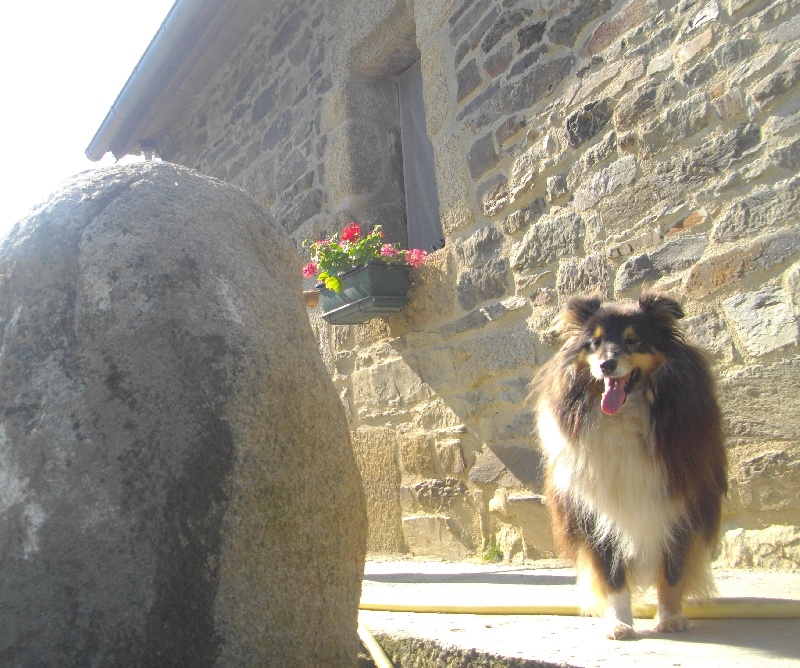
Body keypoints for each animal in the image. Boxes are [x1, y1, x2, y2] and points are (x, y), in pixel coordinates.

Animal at [536, 294, 728, 640]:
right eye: (594, 343)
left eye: (633, 340)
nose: (606, 365)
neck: (624, 415)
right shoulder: (596, 512)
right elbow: (612, 575)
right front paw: (620, 624)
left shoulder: (679, 503)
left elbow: (673, 571)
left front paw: (671, 619)